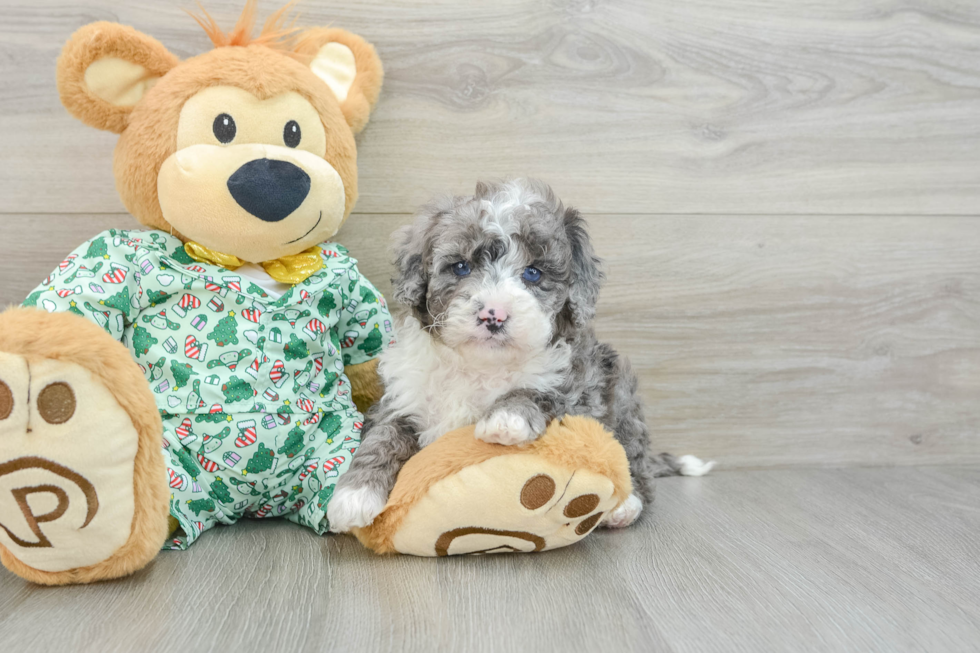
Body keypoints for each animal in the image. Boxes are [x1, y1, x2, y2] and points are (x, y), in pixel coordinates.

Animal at [330, 177, 712, 528]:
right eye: (461, 267)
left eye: (533, 273)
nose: (494, 314)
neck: (480, 365)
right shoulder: (401, 400)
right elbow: (383, 436)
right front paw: (354, 495)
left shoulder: (577, 387)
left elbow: (538, 391)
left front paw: (506, 419)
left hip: (622, 394)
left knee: (633, 457)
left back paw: (625, 506)